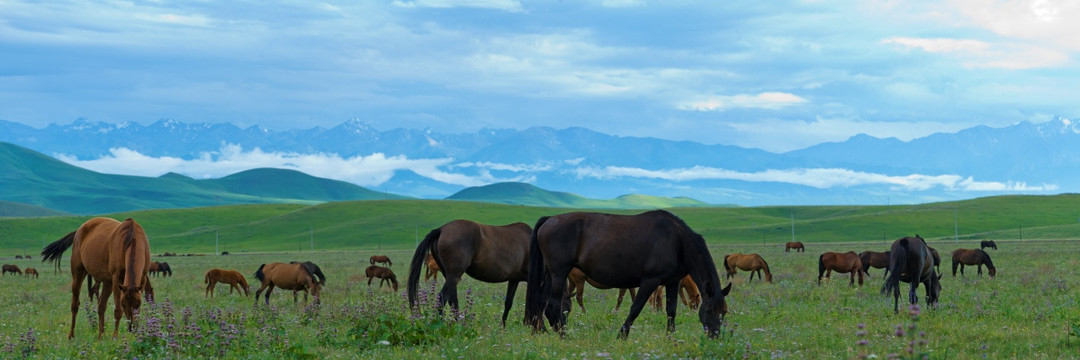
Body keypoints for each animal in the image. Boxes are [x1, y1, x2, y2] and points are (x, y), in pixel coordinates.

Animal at [524, 208, 734, 337]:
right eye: (709, 310)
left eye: (724, 312)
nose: (715, 336)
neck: (677, 241)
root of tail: (549, 219)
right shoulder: (650, 281)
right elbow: (636, 308)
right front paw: (621, 335)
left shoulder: (673, 283)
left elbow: (671, 311)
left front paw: (671, 336)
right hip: (559, 273)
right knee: (552, 305)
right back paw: (563, 336)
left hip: (550, 274)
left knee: (541, 303)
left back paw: (543, 331)